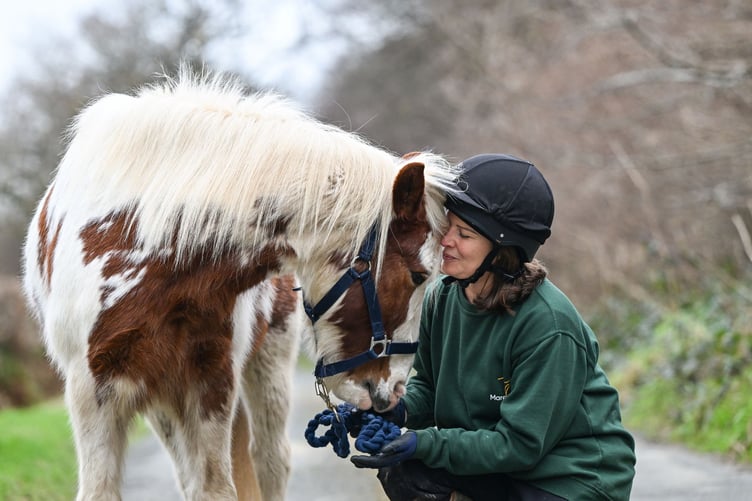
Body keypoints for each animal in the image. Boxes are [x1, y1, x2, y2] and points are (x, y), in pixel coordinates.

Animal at [21, 71, 458, 501]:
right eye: (419, 275)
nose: (395, 390)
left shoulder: (212, 382)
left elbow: (217, 487)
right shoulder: (94, 392)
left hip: (266, 368)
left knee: (270, 461)